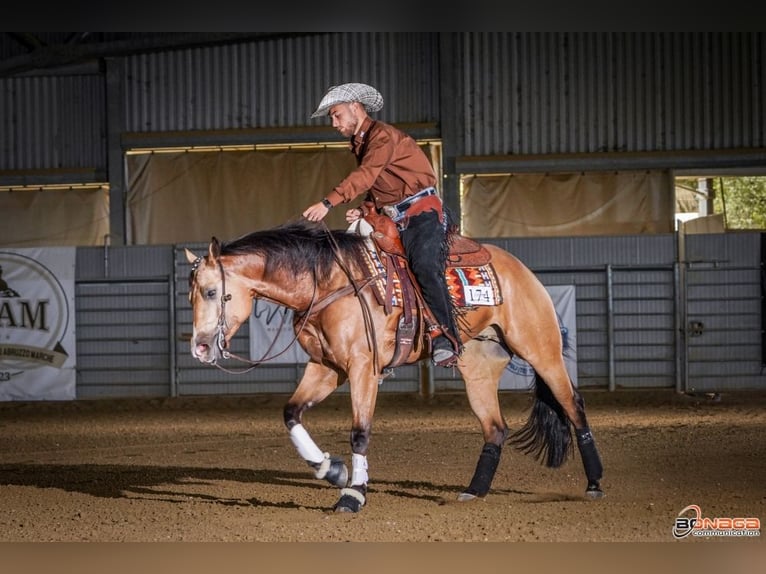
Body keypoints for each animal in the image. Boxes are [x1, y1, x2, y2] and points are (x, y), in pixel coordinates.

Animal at [184, 219, 608, 512]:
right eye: (191, 296)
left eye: (212, 292)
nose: (200, 348)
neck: (328, 283)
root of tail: (521, 270)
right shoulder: (325, 367)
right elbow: (291, 414)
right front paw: (331, 470)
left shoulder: (362, 368)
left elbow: (359, 432)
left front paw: (353, 493)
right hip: (478, 369)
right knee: (495, 428)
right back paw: (474, 490)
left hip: (543, 351)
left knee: (574, 406)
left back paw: (594, 485)